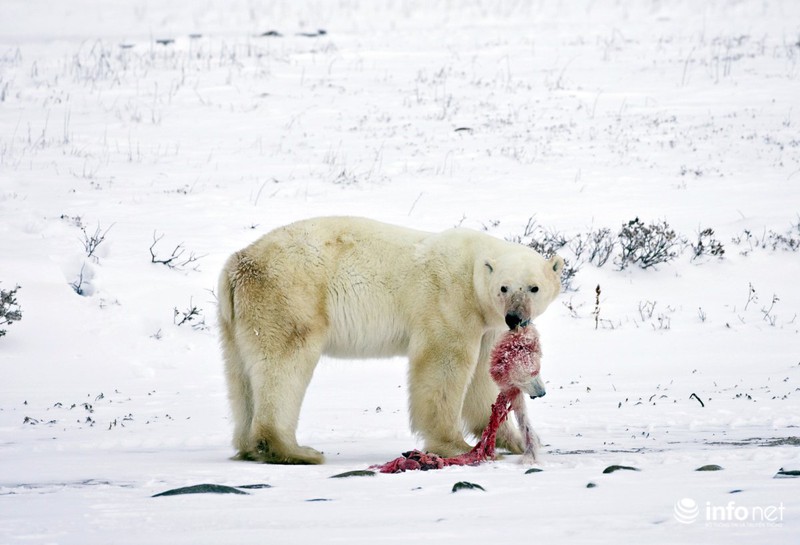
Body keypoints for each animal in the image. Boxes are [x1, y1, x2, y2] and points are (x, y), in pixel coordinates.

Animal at [217, 217, 564, 464]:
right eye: (504, 287)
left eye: (533, 287)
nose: (515, 318)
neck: (473, 269)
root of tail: (237, 263)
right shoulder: (449, 300)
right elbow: (443, 364)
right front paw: (454, 445)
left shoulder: (485, 324)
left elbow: (482, 379)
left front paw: (516, 441)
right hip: (290, 296)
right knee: (284, 365)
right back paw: (294, 450)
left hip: (236, 319)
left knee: (241, 376)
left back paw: (249, 446)